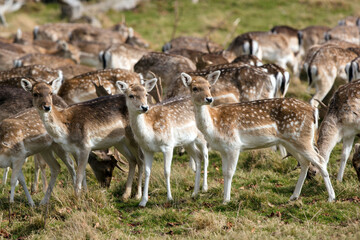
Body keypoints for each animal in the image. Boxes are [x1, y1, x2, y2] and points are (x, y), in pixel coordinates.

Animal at [181, 71, 336, 202]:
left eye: (209, 86)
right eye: (194, 88)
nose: (209, 98)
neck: (214, 124)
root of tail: (313, 112)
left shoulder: (234, 145)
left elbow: (230, 172)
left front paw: (226, 200)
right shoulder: (223, 149)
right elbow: (224, 172)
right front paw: (225, 198)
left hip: (302, 138)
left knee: (320, 160)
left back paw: (331, 197)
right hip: (291, 142)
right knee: (305, 163)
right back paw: (294, 196)